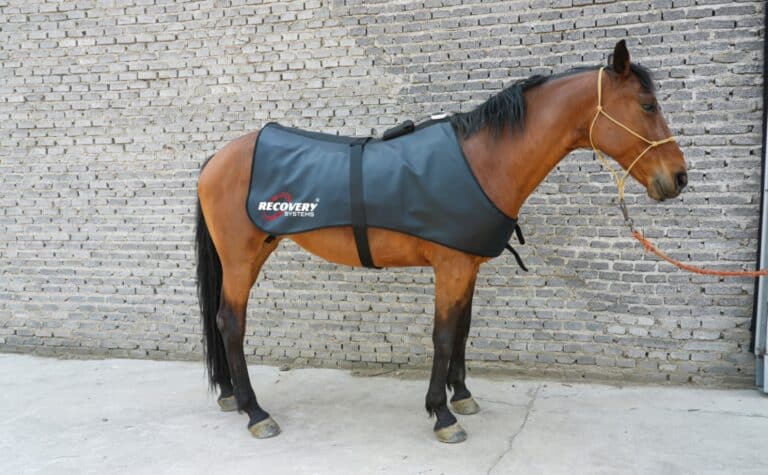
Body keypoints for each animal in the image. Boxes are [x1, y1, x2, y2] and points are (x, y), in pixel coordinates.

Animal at [194, 40, 687, 443]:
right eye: (647, 105)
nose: (678, 178)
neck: (483, 162)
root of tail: (216, 158)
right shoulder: (450, 266)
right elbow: (444, 334)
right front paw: (442, 415)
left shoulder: (467, 267)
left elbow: (463, 331)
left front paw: (462, 395)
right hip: (241, 259)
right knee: (230, 323)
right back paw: (255, 412)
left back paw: (230, 397)